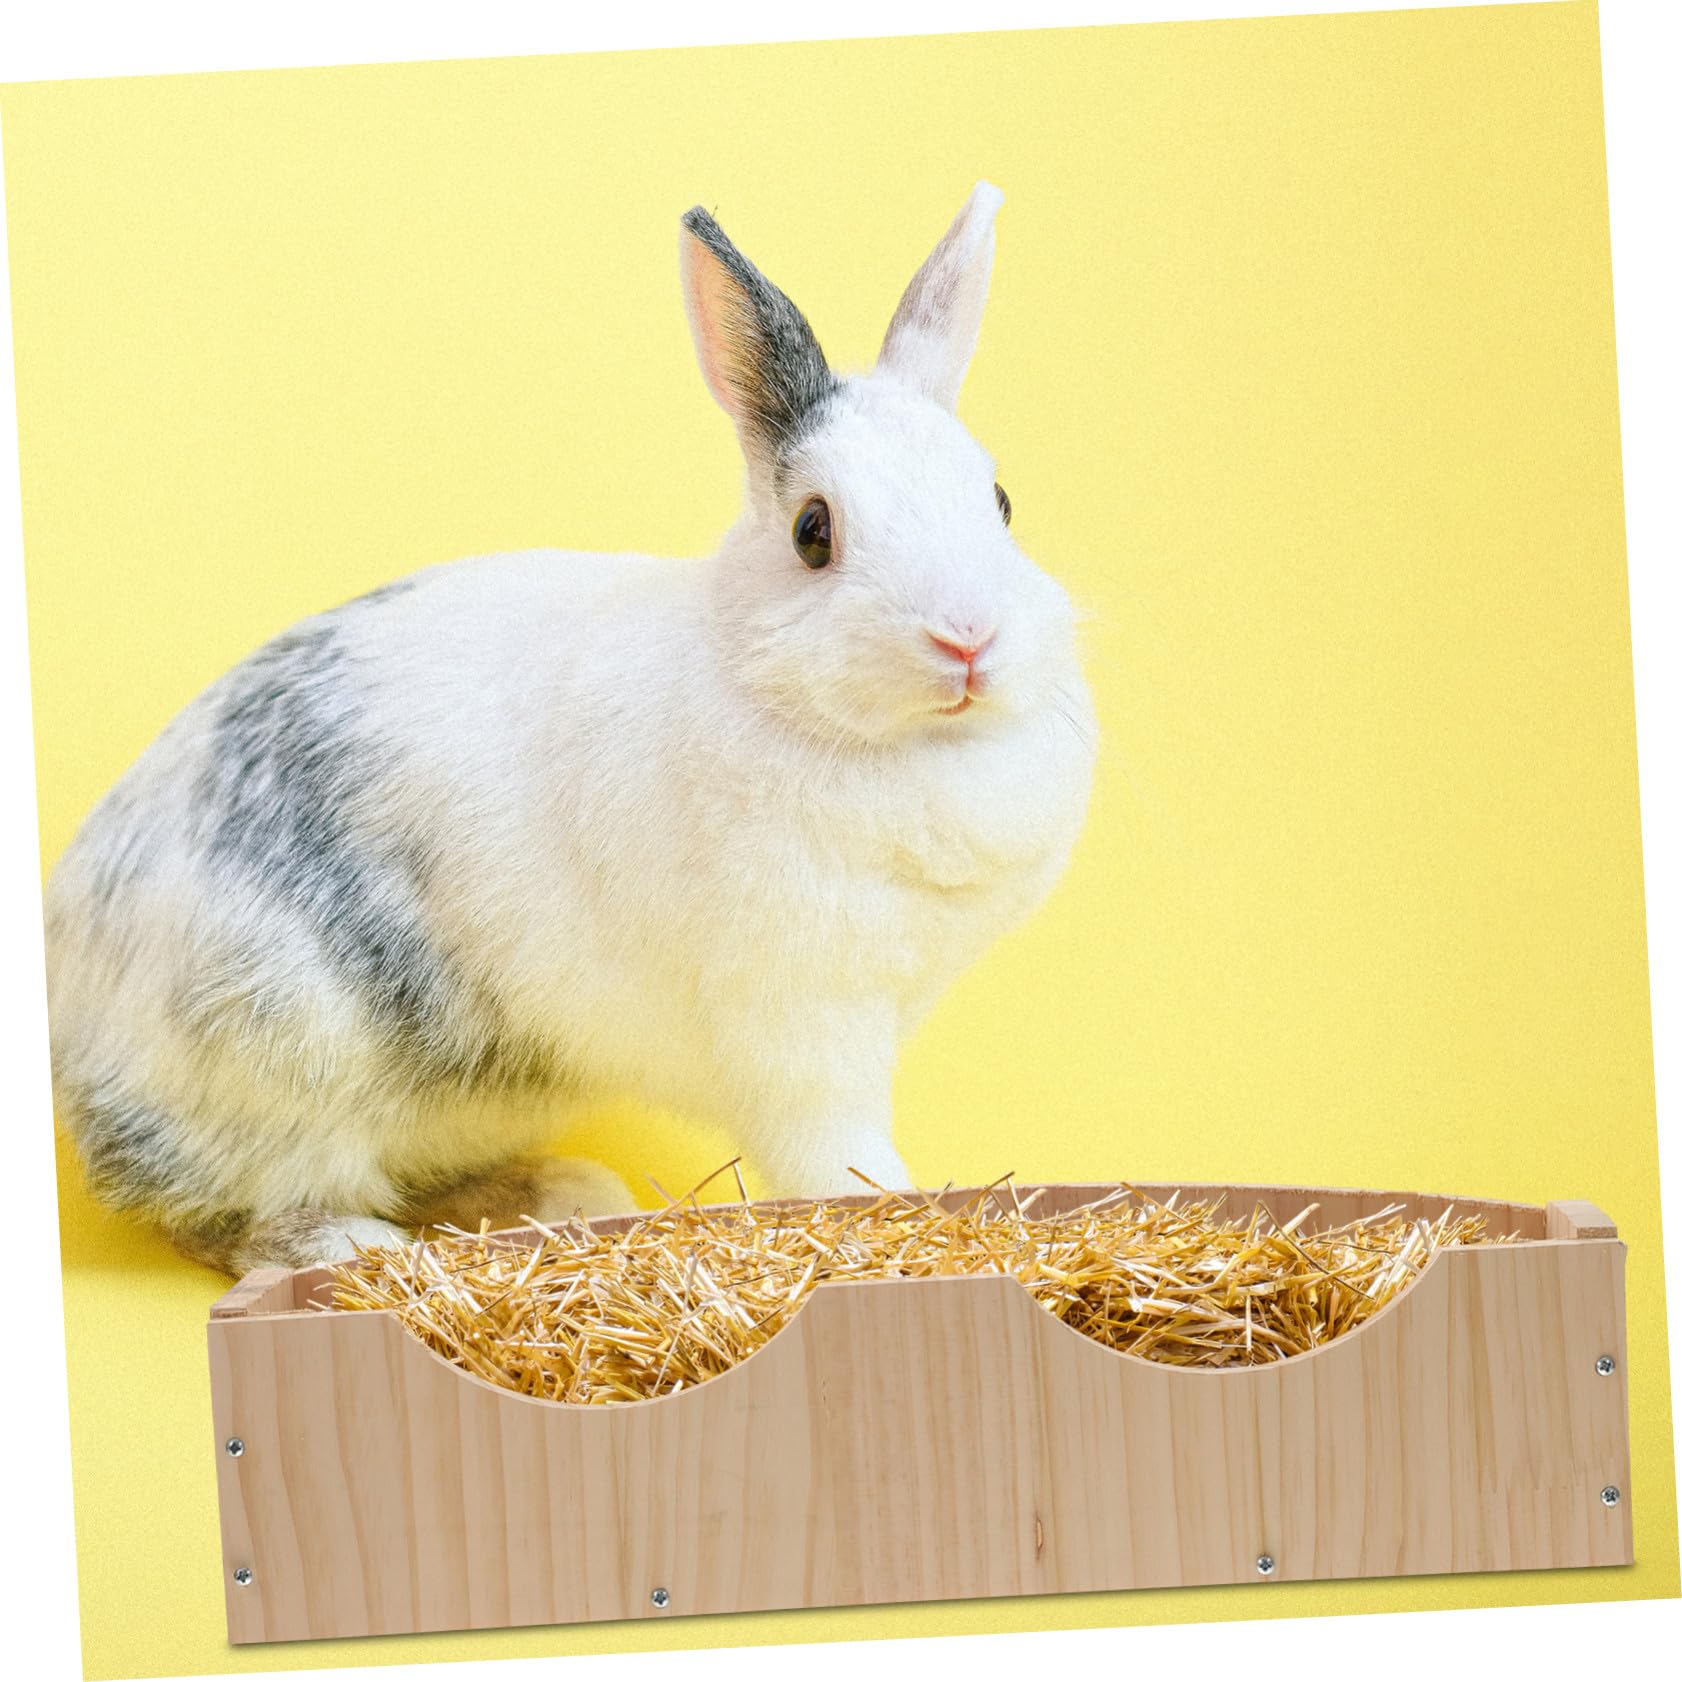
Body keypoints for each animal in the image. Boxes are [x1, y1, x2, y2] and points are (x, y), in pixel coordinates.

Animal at [43, 182, 1098, 1276]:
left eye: (1000, 501)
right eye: (814, 532)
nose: (968, 637)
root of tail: (66, 998)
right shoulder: (799, 1027)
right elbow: (832, 1149)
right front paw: (894, 1214)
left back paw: (559, 1194)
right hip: (279, 1053)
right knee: (217, 1211)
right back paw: (350, 1244)